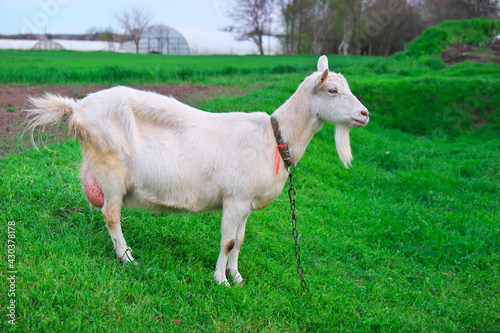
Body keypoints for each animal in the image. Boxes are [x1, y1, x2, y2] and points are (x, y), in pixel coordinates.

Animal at [24, 55, 368, 284]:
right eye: (333, 90)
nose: (364, 114)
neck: (273, 137)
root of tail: (78, 108)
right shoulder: (234, 198)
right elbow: (227, 241)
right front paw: (220, 280)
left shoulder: (245, 202)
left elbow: (240, 240)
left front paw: (236, 276)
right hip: (111, 172)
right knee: (111, 215)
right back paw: (127, 257)